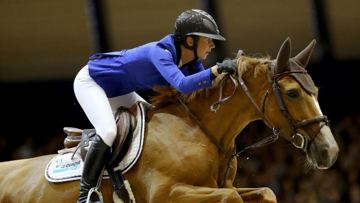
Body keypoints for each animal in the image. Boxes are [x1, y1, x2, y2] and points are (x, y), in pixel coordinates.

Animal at [0, 37, 338, 201]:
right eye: (293, 93)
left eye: (317, 90)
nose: (331, 151)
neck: (200, 133)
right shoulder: (168, 193)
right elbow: (231, 198)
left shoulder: (220, 187)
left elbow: (265, 192)